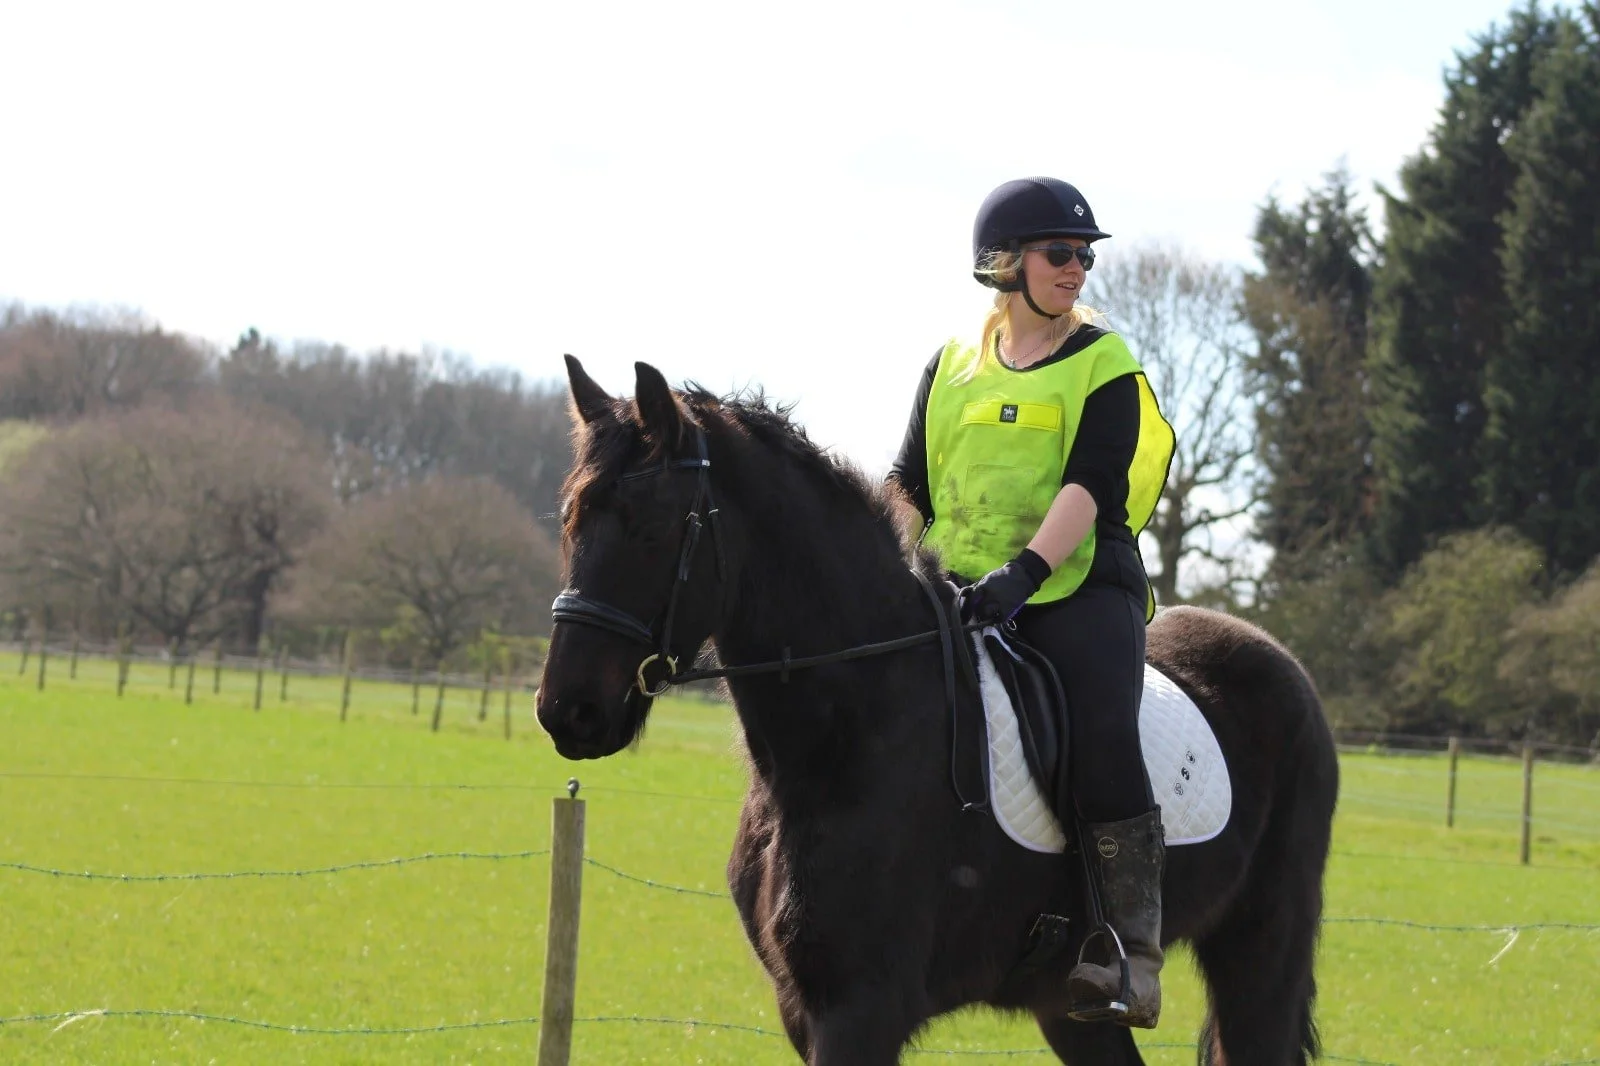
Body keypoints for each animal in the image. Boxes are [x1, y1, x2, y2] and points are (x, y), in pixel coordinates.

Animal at [536, 357, 1340, 1066]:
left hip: (1260, 952)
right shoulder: (804, 1010)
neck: (851, 724)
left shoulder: (861, 1010)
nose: (567, 711)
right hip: (1067, 1005)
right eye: (571, 520)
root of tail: (1283, 662)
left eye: (653, 527)